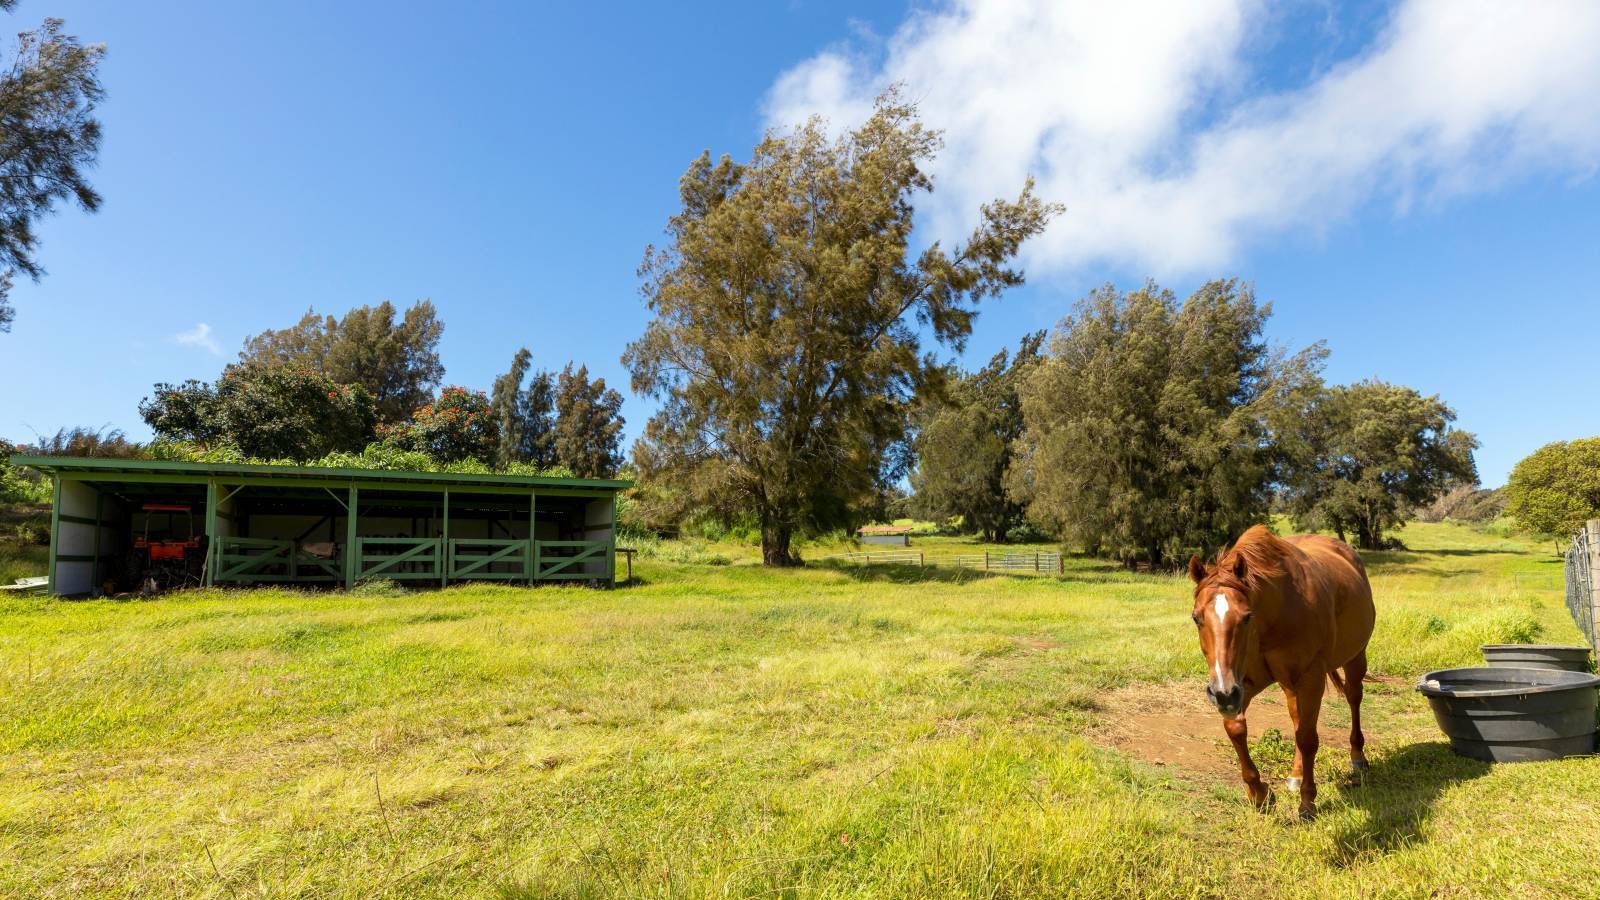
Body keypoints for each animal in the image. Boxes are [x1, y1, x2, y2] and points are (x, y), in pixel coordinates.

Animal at [1187, 525, 1375, 820]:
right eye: (1196, 617)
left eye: (1246, 617)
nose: (1222, 694)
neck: (1275, 616)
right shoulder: (1244, 682)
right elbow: (1236, 728)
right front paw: (1259, 794)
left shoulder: (1311, 678)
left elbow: (1308, 738)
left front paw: (1307, 802)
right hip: (1288, 685)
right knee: (1297, 718)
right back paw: (1295, 775)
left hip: (1355, 657)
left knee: (1353, 698)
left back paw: (1357, 757)